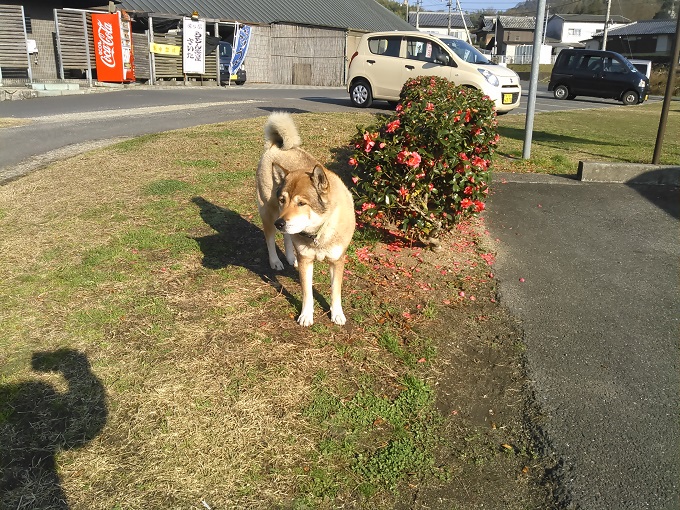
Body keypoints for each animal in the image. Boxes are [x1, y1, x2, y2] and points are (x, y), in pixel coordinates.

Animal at [256, 112, 355, 327]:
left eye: (302, 203)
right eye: (283, 200)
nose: (280, 223)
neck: (319, 234)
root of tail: (276, 146)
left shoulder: (337, 261)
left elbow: (335, 291)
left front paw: (337, 313)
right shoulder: (306, 262)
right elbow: (307, 293)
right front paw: (306, 315)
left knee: (286, 237)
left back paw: (290, 257)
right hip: (269, 213)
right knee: (269, 238)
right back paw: (276, 261)